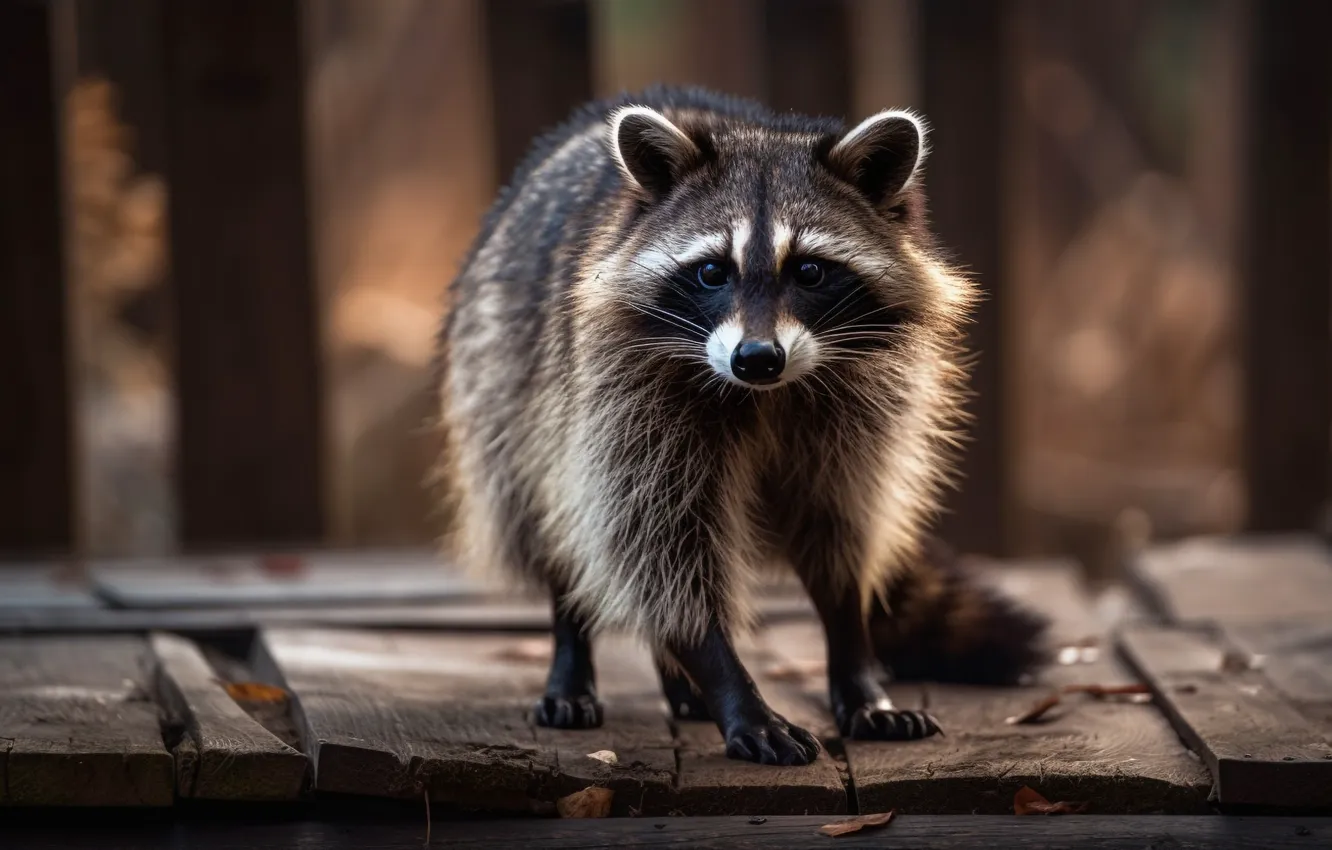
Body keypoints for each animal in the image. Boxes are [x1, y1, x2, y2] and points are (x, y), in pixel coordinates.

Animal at [432, 86, 1048, 765]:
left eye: (810, 271)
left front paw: (852, 657)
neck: (768, 393)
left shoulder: (862, 407)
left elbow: (838, 526)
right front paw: (726, 678)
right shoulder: (622, 395)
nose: (756, 358)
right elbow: (654, 536)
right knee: (560, 523)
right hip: (502, 387)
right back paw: (574, 652)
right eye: (711, 272)